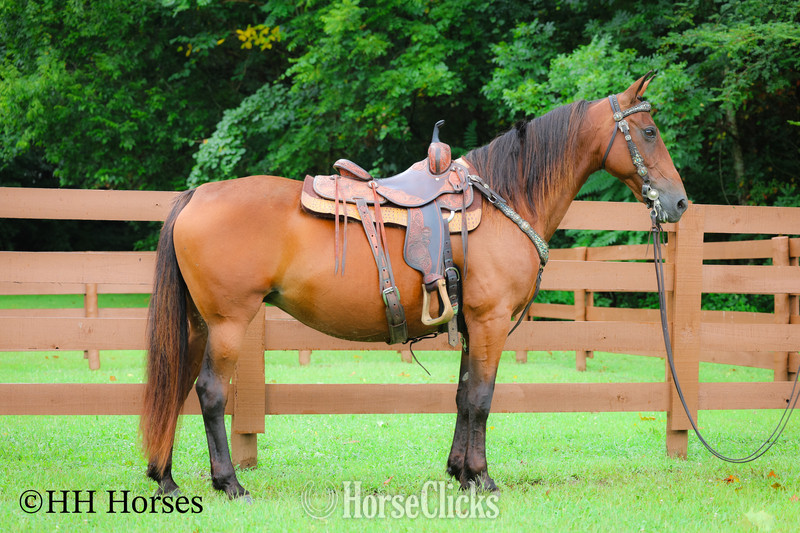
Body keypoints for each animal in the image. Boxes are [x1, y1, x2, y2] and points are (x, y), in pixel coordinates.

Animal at [140, 73, 688, 499]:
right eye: (649, 131)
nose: (680, 203)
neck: (505, 199)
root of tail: (196, 196)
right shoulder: (490, 321)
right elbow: (482, 397)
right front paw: (481, 477)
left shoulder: (471, 325)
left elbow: (464, 394)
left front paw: (459, 472)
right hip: (228, 323)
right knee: (210, 392)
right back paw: (229, 483)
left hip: (198, 325)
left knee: (177, 386)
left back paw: (165, 478)